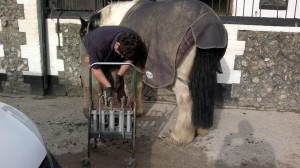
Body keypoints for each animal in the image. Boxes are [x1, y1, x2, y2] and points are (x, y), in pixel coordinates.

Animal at [79, 0, 227, 144]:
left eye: (82, 33)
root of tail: (207, 22)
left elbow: (122, 86)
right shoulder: (137, 65)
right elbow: (137, 86)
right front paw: (137, 112)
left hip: (176, 78)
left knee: (185, 98)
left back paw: (180, 136)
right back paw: (200, 129)